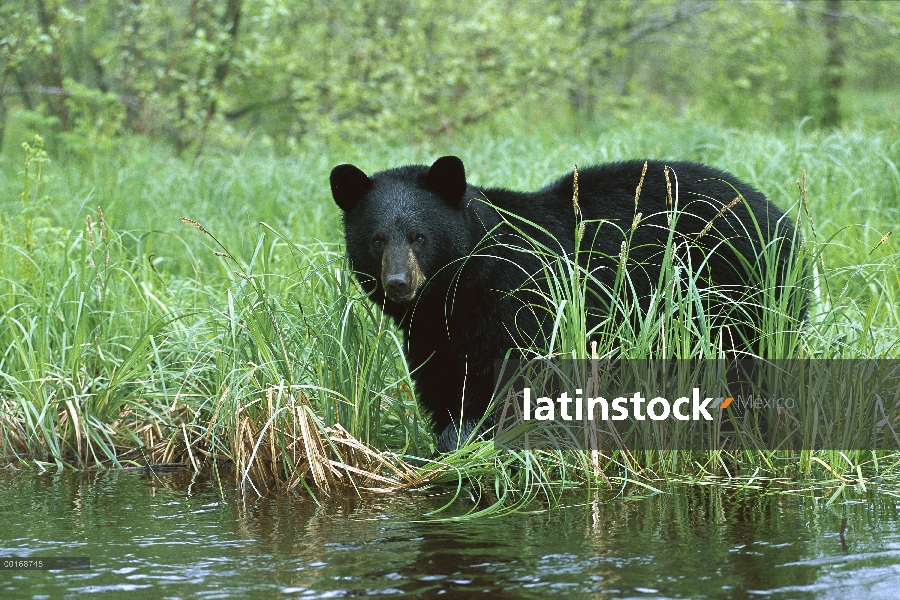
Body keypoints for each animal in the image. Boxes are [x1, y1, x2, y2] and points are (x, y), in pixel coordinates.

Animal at [330, 157, 800, 452]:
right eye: (377, 239)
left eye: (419, 237)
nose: (399, 283)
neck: (457, 294)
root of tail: (780, 215)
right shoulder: (434, 336)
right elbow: (446, 387)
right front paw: (451, 441)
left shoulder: (521, 305)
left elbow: (517, 382)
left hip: (745, 293)